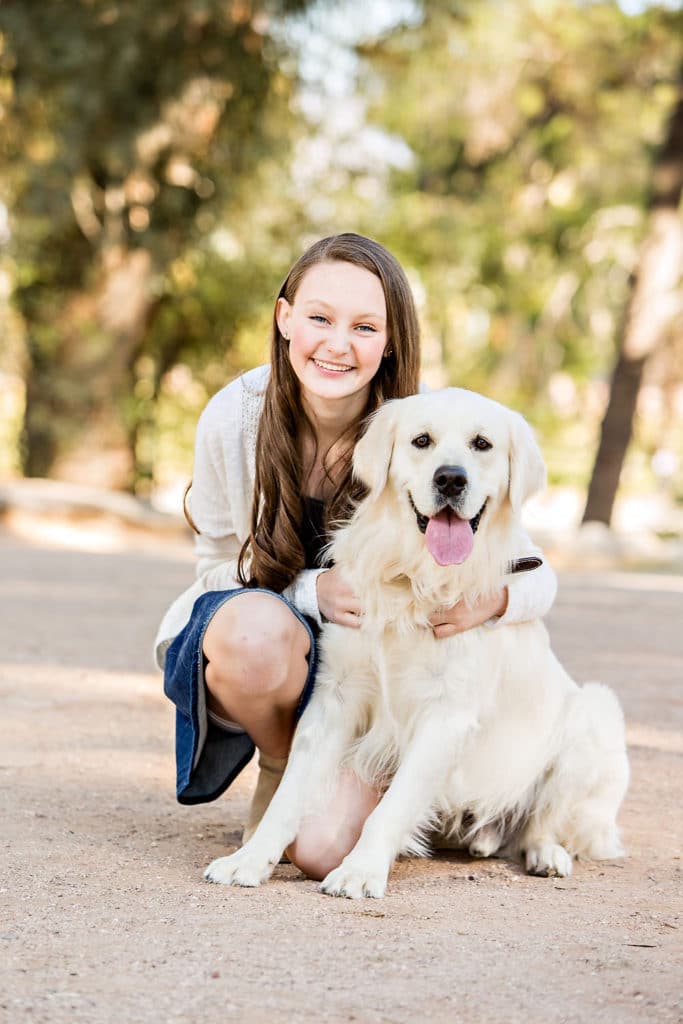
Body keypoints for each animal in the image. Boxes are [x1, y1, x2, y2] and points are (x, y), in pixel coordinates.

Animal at [204, 387, 630, 901]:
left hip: (595, 714)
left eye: (482, 444)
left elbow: (390, 808)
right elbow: (288, 795)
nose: (450, 478)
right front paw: (249, 859)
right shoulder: (336, 694)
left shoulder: (447, 714)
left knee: (545, 819)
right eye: (421, 440)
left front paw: (359, 870)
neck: (413, 579)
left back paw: (546, 853)